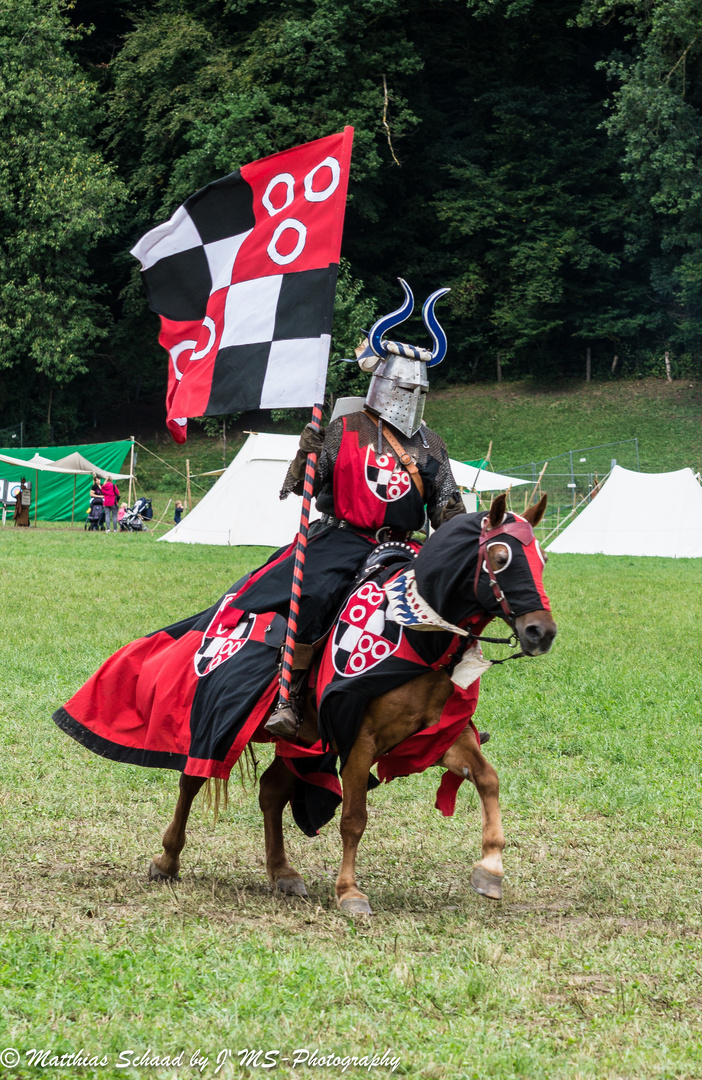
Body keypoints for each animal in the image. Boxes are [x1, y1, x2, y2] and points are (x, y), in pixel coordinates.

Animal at [149, 494, 557, 915]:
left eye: (542, 559)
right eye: (499, 557)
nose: (540, 632)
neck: (418, 630)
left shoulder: (440, 738)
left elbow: (487, 778)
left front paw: (490, 868)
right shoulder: (360, 741)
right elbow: (354, 818)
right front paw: (349, 891)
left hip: (304, 742)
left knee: (272, 790)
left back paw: (281, 871)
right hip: (221, 716)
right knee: (192, 778)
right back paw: (167, 859)